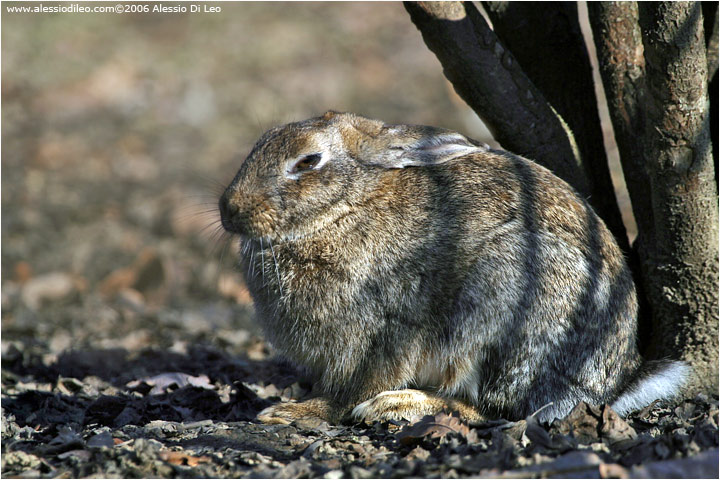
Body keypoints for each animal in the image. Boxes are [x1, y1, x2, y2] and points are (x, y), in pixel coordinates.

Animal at [217, 109, 688, 424]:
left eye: (307, 162)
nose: (229, 210)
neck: (344, 207)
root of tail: (616, 380)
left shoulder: (384, 332)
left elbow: (352, 391)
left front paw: (292, 411)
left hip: (505, 306)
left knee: (496, 409)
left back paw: (400, 404)